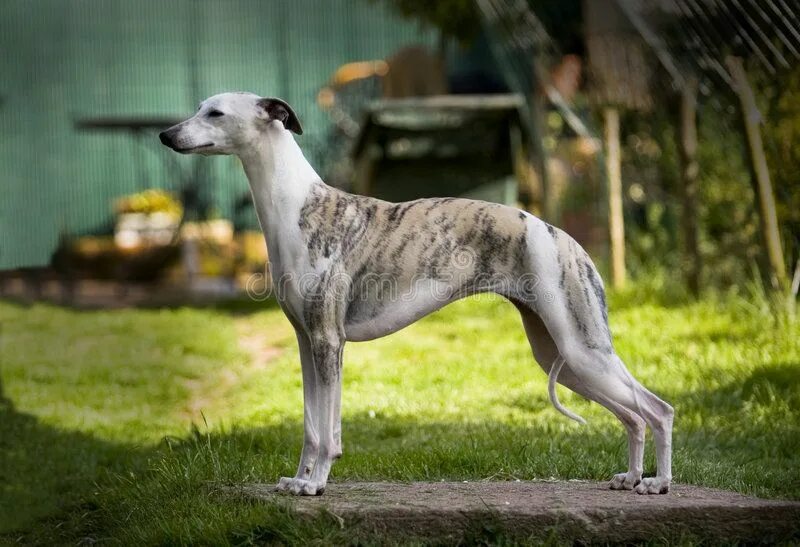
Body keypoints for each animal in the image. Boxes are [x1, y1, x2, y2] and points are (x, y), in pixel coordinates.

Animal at [161, 93, 676, 496]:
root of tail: (567, 239)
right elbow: (311, 425)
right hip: (560, 355)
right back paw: (631, 478)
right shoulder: (307, 342)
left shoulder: (329, 340)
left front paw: (316, 483)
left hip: (582, 347)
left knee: (659, 410)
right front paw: (299, 480)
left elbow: (326, 432)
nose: (166, 135)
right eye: (200, 107)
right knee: (633, 416)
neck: (298, 206)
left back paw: (658, 482)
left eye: (215, 112)